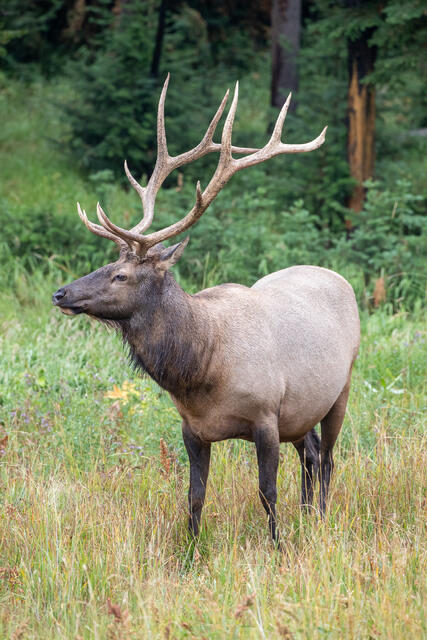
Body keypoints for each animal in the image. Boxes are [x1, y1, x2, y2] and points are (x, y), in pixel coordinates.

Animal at [52, 75, 360, 546]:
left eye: (121, 275)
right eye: (105, 264)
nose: (61, 293)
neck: (202, 370)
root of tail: (339, 278)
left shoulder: (267, 416)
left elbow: (266, 491)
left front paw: (277, 546)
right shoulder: (192, 428)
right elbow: (194, 496)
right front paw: (191, 551)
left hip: (339, 390)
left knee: (326, 460)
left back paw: (320, 518)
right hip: (301, 410)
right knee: (309, 455)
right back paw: (307, 514)